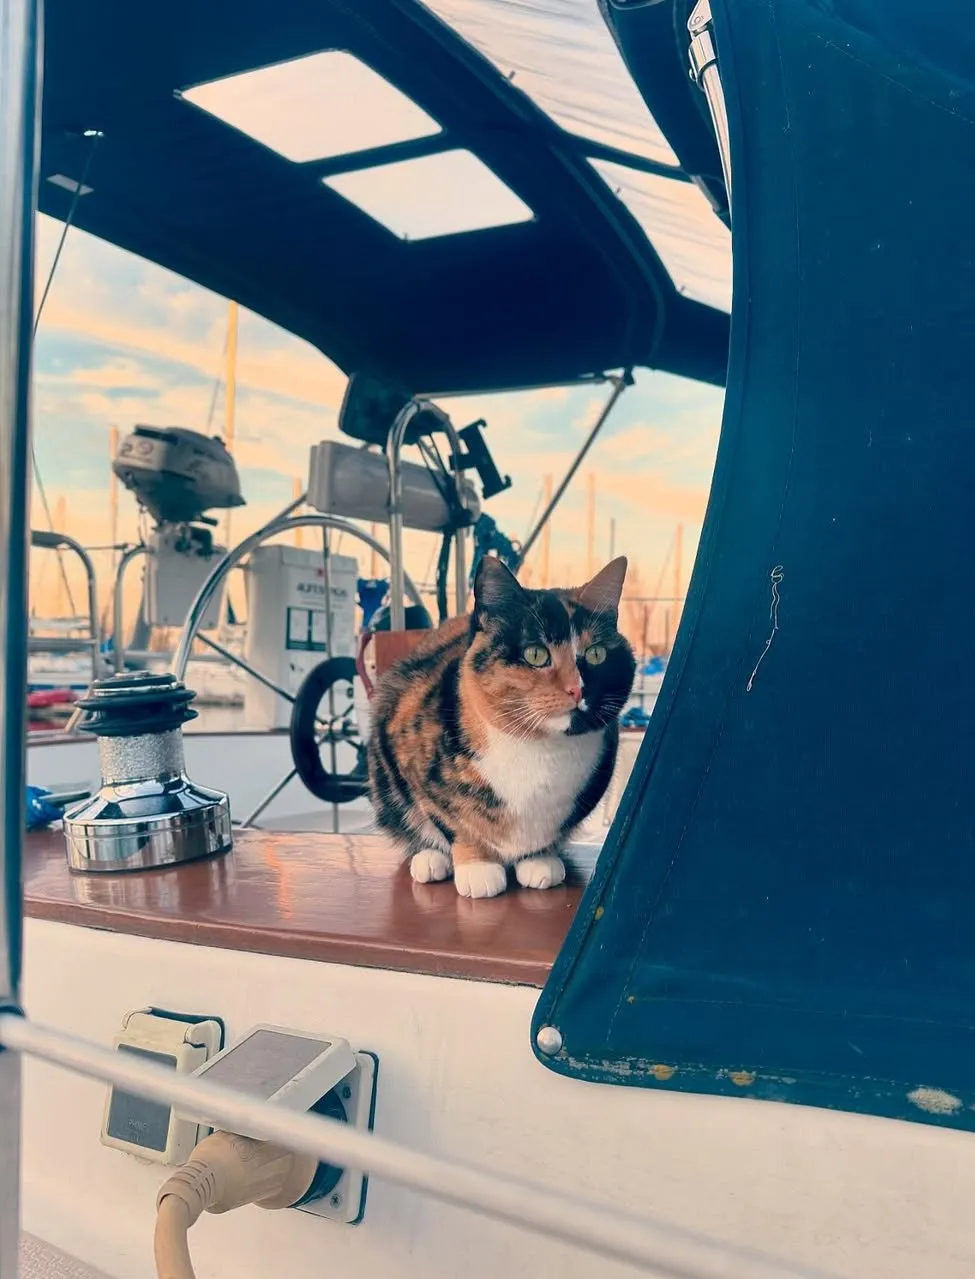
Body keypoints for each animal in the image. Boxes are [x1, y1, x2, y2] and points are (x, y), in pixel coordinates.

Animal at [367, 554, 636, 898]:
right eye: (536, 654)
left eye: (596, 653)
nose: (578, 690)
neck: (540, 749)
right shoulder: (409, 755)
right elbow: (450, 820)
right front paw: (478, 867)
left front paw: (539, 859)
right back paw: (430, 859)